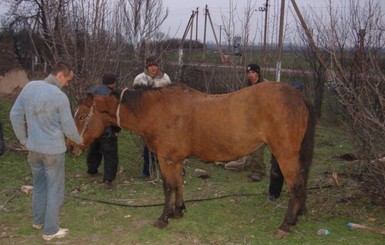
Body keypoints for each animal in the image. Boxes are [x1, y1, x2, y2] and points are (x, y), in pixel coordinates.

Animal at [67, 83, 316, 237]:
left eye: (82, 116)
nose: (70, 148)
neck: (155, 111)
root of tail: (299, 96)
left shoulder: (165, 159)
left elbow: (168, 186)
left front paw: (164, 217)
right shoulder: (175, 160)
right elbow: (179, 184)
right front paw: (178, 211)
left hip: (285, 154)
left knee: (295, 185)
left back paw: (286, 224)